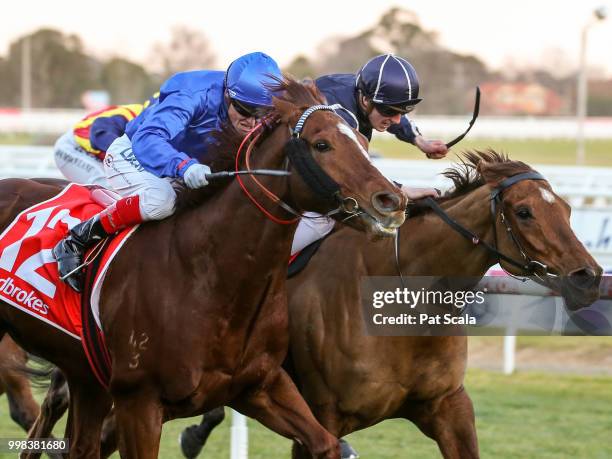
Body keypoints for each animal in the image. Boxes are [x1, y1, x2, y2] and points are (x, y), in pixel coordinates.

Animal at [0, 77, 406, 458]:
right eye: (321, 144)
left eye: (363, 140)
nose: (392, 200)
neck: (207, 278)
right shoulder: (138, 401)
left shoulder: (259, 386)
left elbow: (326, 444)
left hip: (85, 377)